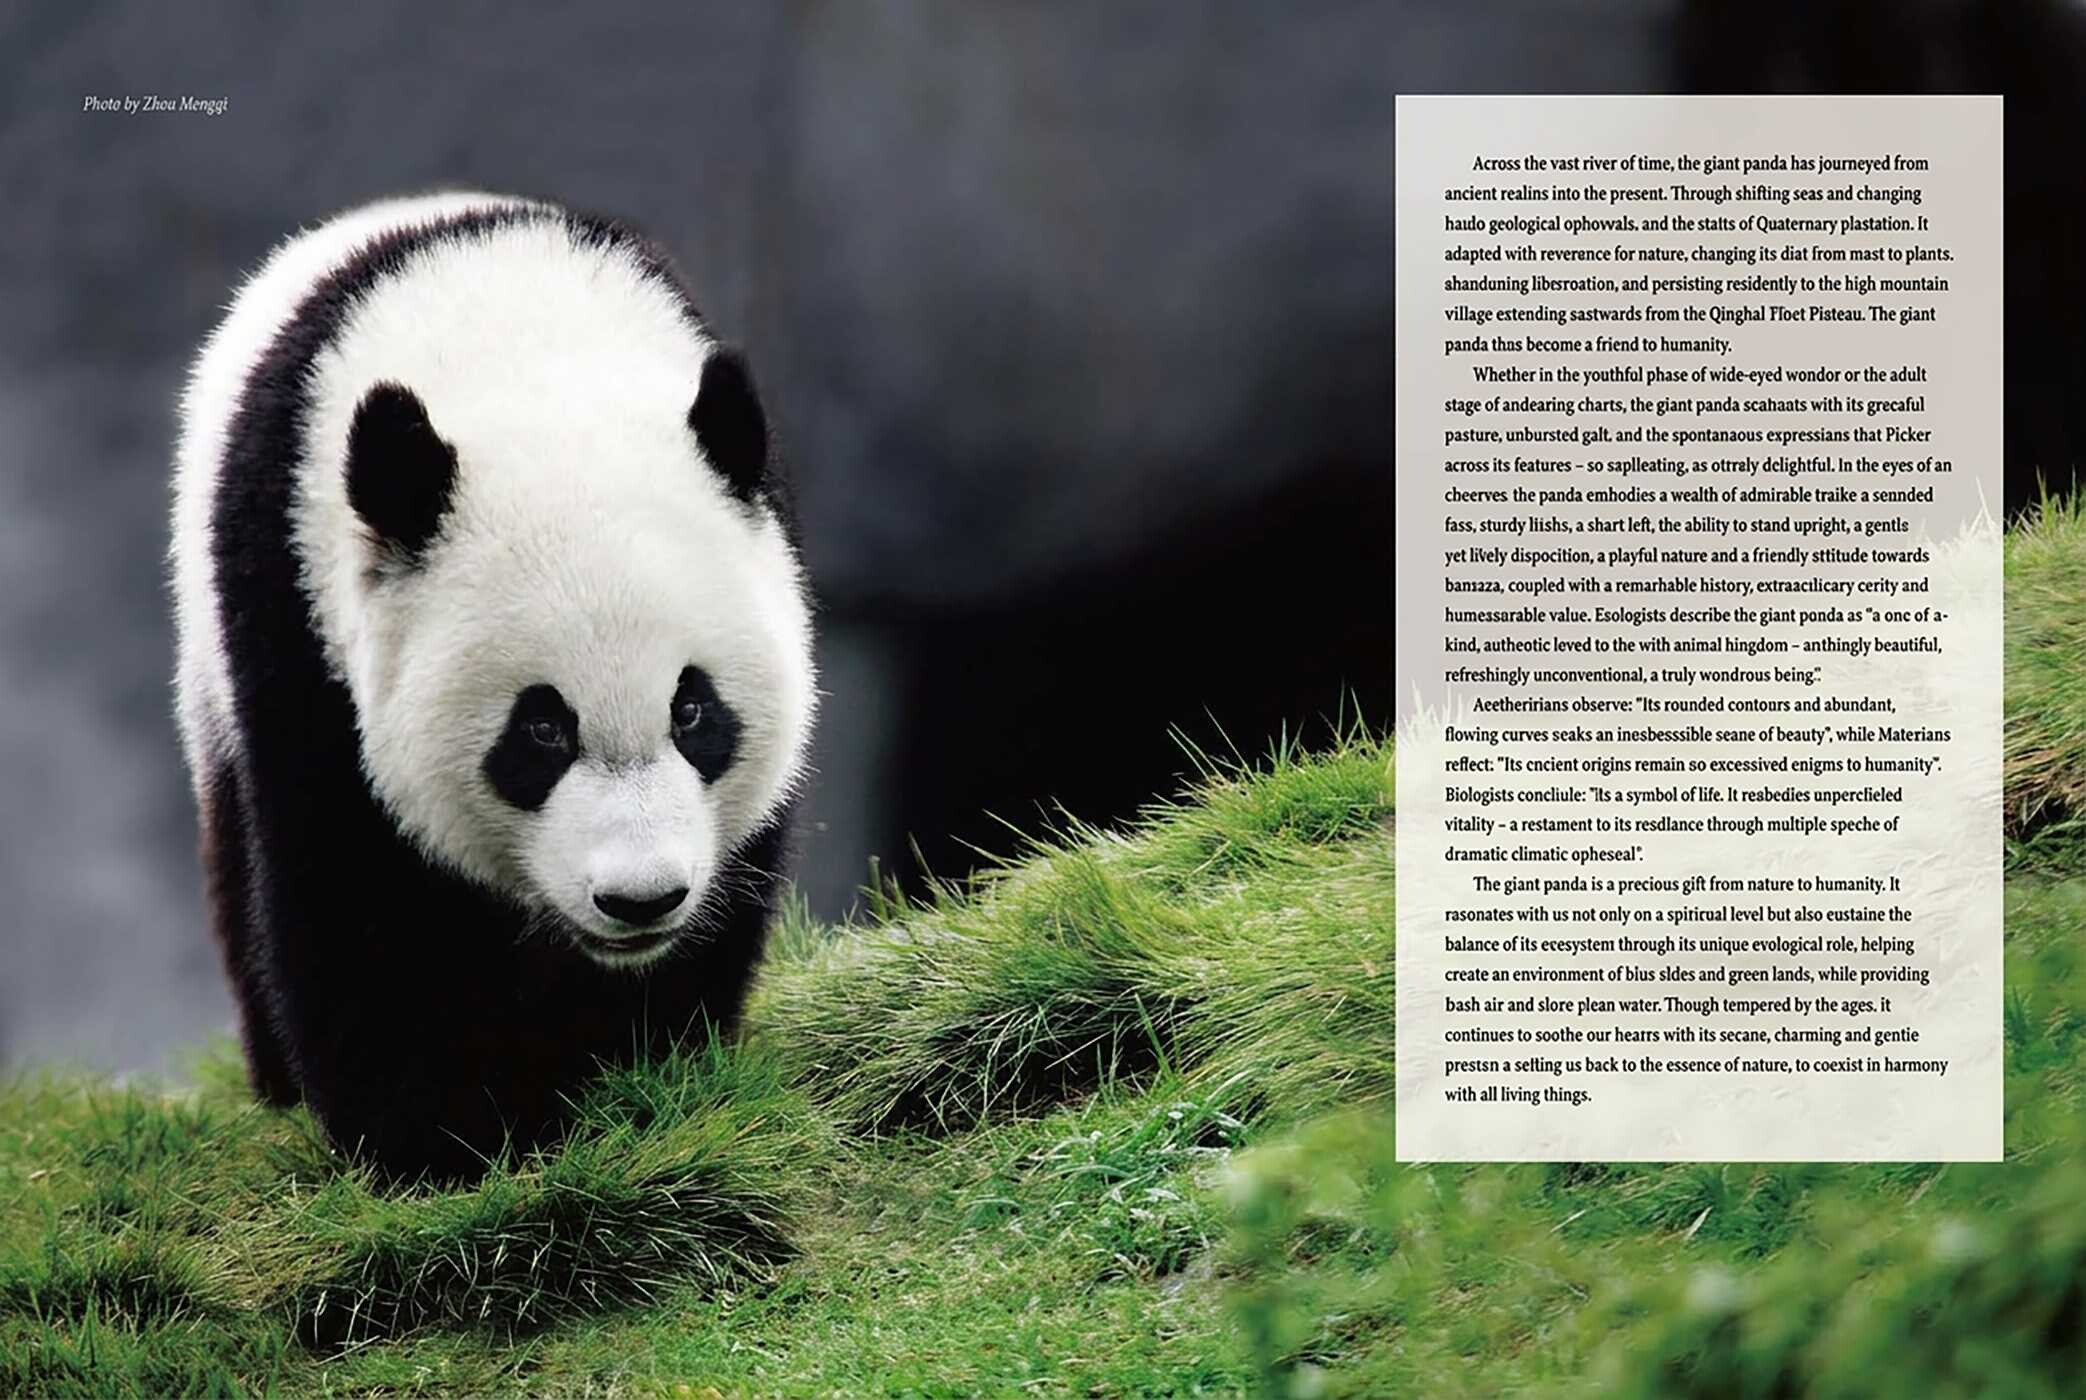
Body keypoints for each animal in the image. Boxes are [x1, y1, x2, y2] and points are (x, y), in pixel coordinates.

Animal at [170, 191, 818, 1181]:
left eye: (693, 709)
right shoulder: (294, 613)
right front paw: (435, 1140)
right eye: (541, 730)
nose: (641, 900)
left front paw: (642, 1078)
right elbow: (357, 892)